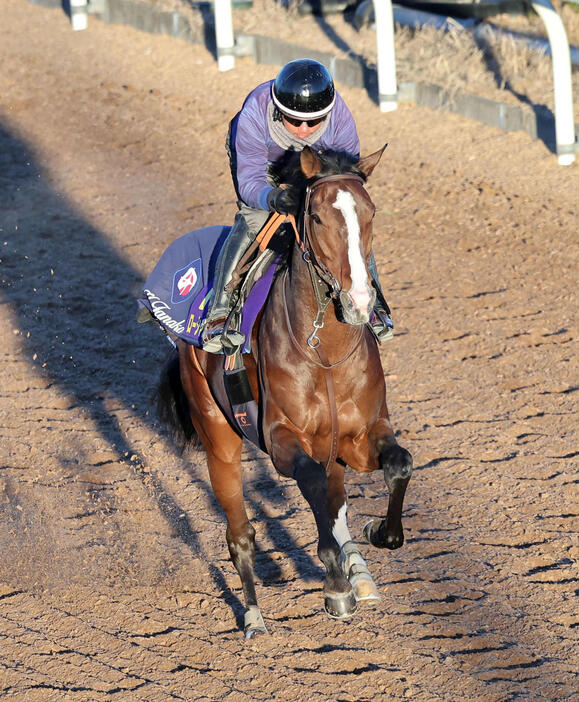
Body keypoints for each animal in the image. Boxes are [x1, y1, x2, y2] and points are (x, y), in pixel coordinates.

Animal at [156, 146, 414, 640]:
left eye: (370, 213)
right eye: (315, 216)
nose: (359, 302)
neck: (325, 352)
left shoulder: (360, 435)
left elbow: (399, 465)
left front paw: (379, 536)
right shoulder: (281, 439)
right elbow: (310, 484)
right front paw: (335, 584)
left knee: (335, 502)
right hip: (218, 436)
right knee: (240, 533)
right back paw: (254, 618)